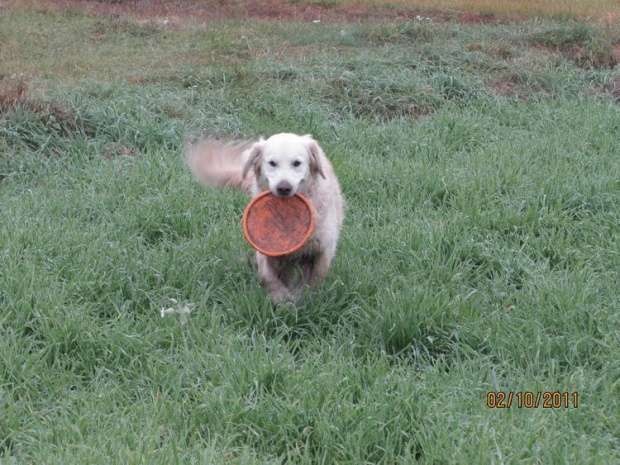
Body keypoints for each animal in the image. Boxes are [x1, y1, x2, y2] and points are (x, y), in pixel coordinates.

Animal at [186, 132, 346, 302]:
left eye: (297, 163)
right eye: (272, 163)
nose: (284, 188)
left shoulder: (324, 248)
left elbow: (314, 278)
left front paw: (302, 297)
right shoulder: (266, 249)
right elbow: (267, 275)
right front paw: (281, 297)